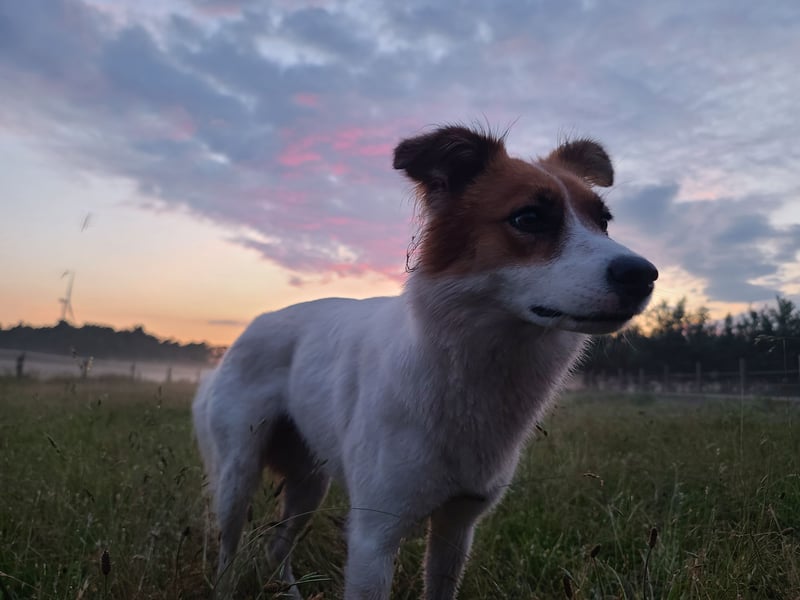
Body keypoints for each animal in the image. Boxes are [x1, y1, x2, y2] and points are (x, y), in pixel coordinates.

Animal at [192, 124, 656, 596]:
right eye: (529, 218)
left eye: (603, 222)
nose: (643, 275)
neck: (468, 365)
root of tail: (247, 330)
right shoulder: (373, 537)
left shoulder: (458, 524)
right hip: (238, 474)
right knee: (230, 551)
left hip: (309, 480)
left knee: (276, 547)